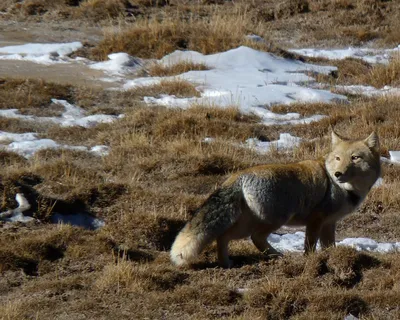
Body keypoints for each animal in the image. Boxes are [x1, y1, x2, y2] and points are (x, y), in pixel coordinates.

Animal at [170, 130, 382, 268]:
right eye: (338, 158)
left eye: (355, 158)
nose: (338, 174)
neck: (344, 189)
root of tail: (238, 176)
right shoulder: (316, 220)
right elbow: (310, 245)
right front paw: (310, 260)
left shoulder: (329, 223)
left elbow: (329, 246)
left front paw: (332, 257)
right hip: (274, 220)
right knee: (254, 238)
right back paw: (276, 255)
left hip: (248, 223)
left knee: (223, 237)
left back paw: (227, 263)